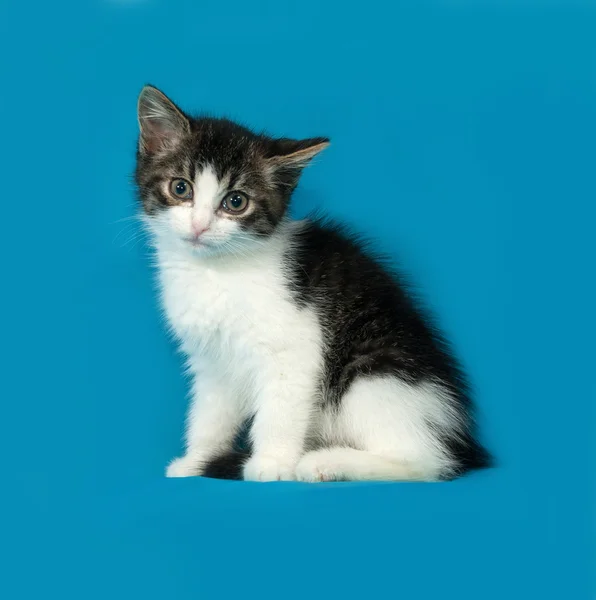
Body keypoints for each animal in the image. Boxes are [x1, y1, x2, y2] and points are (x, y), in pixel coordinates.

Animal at [136, 85, 494, 482]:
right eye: (180, 188)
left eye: (236, 201)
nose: (199, 227)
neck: (216, 271)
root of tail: (460, 441)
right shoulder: (211, 361)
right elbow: (210, 411)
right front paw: (197, 457)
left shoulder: (296, 343)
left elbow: (280, 407)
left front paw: (272, 463)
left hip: (373, 375)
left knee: (422, 461)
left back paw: (325, 462)